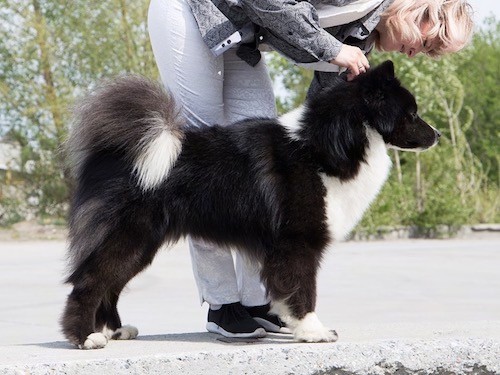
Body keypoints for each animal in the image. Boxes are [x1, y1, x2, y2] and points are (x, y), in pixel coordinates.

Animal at [60, 59, 440, 350]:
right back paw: (86, 337)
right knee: (90, 282)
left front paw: (293, 325)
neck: (326, 144)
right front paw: (314, 331)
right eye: (412, 113)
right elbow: (304, 289)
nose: (437, 135)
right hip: (129, 236)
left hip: (142, 245)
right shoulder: (298, 242)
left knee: (110, 284)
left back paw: (114, 330)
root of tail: (118, 150)